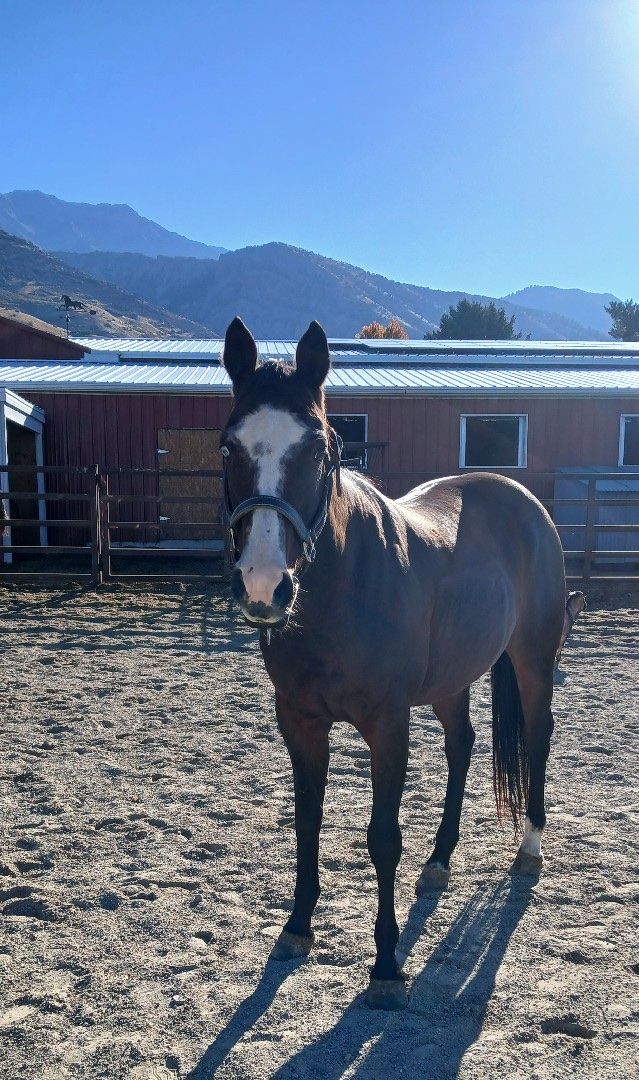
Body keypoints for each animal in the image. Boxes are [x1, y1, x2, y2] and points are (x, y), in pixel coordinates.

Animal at [221, 316, 568, 1010]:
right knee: (462, 744)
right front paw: (297, 928)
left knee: (537, 738)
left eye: (321, 448)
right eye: (228, 447)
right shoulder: (299, 721)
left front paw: (385, 966)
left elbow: (382, 837)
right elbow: (307, 822)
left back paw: (530, 851)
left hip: (533, 659)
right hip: (452, 681)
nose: (263, 587)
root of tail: (522, 499)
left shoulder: (387, 723)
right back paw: (439, 862)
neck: (342, 588)